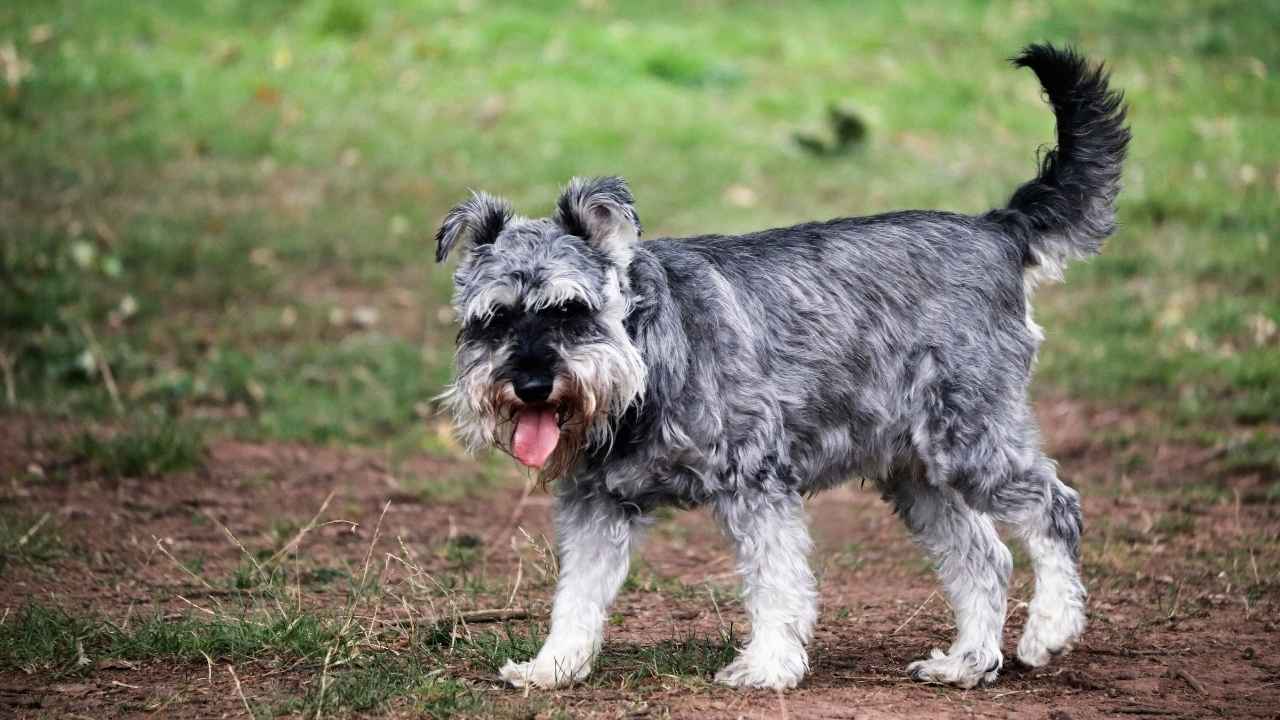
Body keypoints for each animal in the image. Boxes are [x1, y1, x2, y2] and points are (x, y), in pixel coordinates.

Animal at [435, 44, 1126, 691]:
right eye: (493, 319)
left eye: (571, 309)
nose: (531, 384)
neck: (648, 356)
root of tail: (999, 230)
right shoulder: (596, 503)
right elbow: (577, 596)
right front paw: (552, 666)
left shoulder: (756, 481)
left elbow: (776, 583)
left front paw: (767, 665)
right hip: (918, 474)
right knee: (984, 559)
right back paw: (967, 663)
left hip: (970, 440)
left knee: (1054, 508)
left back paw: (1050, 630)